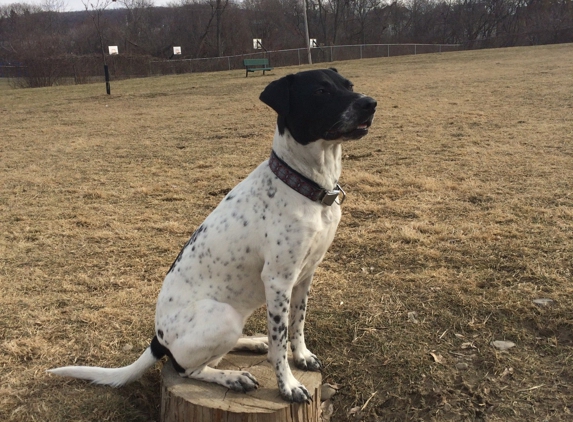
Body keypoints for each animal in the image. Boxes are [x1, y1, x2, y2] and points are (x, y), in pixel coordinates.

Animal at [49, 68, 378, 402]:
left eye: (348, 85)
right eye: (321, 91)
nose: (370, 103)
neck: (303, 184)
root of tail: (158, 340)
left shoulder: (305, 275)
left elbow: (296, 325)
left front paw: (302, 356)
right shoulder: (278, 281)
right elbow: (280, 342)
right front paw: (287, 384)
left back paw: (252, 342)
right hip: (224, 316)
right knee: (189, 369)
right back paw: (233, 377)